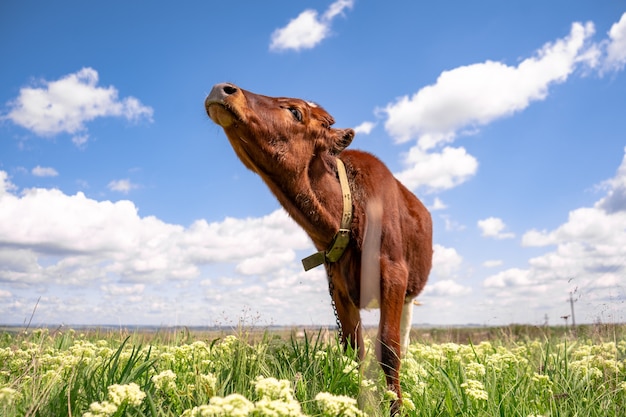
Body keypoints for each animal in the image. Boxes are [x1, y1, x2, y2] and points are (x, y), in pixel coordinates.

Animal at [205, 82, 428, 412]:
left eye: (295, 112)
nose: (222, 89)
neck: (352, 212)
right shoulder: (339, 287)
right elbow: (354, 350)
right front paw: (360, 402)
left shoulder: (393, 274)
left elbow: (389, 349)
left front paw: (395, 408)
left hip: (409, 296)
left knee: (405, 338)